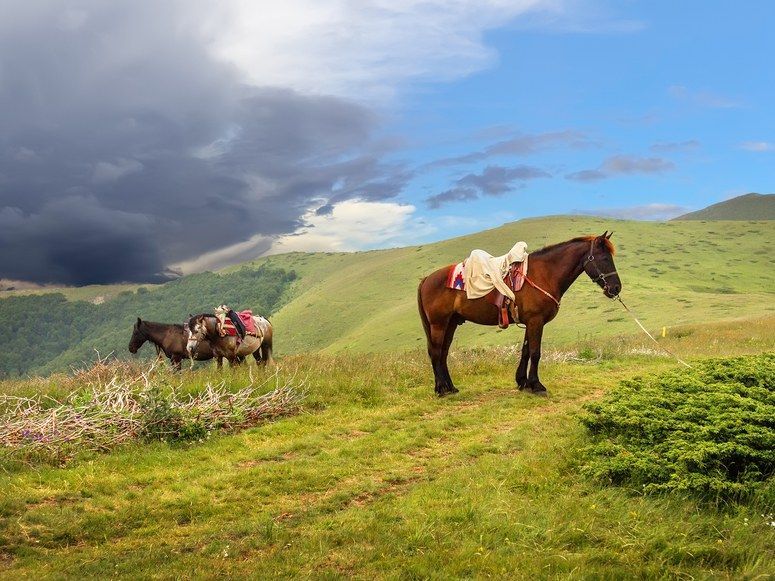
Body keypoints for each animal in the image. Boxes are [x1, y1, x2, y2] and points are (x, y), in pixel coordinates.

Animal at [418, 233, 624, 396]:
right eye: (605, 259)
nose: (616, 288)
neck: (544, 273)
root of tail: (427, 279)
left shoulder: (530, 322)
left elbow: (525, 351)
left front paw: (523, 382)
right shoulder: (536, 321)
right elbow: (535, 352)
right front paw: (536, 385)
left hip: (451, 323)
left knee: (443, 353)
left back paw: (450, 387)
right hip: (438, 324)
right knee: (435, 352)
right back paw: (440, 389)